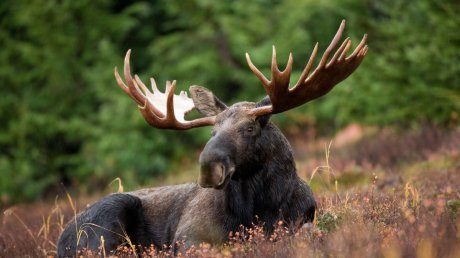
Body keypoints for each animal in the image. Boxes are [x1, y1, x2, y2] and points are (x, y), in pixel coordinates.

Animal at [57, 20, 368, 256]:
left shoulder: (303, 219)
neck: (262, 208)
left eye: (249, 128)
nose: (208, 168)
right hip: (107, 218)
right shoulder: (189, 236)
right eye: (212, 131)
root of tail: (61, 239)